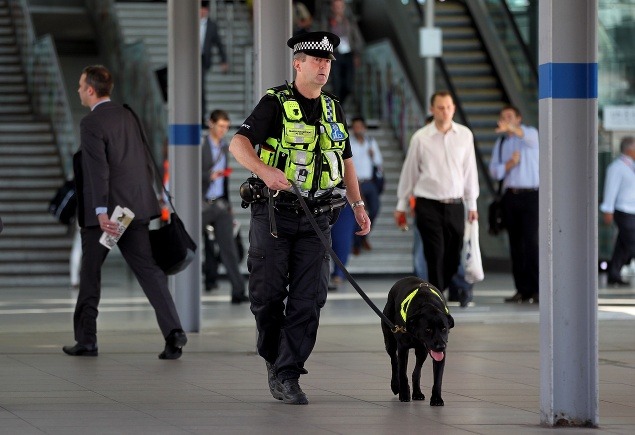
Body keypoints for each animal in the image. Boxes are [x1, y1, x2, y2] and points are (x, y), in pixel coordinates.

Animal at [380, 276, 454, 406]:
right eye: (428, 329)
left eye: (444, 328)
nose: (441, 346)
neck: (427, 303)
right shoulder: (403, 348)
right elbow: (402, 373)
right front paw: (404, 394)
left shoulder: (441, 354)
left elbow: (438, 379)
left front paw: (436, 398)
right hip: (390, 342)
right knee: (394, 361)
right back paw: (395, 385)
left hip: (422, 351)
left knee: (416, 372)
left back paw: (417, 393)